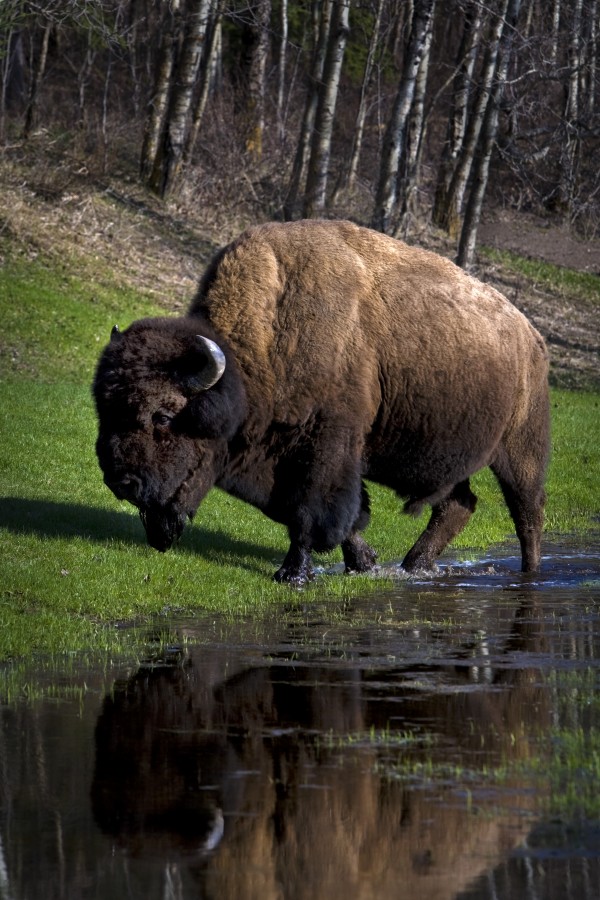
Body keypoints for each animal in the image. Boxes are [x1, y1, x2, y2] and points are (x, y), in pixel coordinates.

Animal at [93, 219, 550, 584]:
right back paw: (414, 565)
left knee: (527, 513)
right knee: (459, 504)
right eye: (103, 408)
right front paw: (363, 562)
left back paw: (528, 575)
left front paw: (292, 573)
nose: (121, 481)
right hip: (450, 457)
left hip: (520, 451)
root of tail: (531, 335)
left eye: (164, 415)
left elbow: (311, 512)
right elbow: (332, 516)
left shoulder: (326, 448)